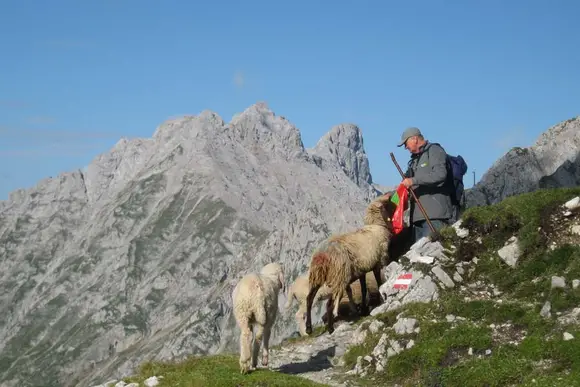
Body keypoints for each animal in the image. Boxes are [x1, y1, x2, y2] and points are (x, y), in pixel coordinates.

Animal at [304, 196, 398, 334]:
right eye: (389, 204)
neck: (377, 226)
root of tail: (322, 254)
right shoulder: (378, 263)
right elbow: (379, 282)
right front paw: (381, 300)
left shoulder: (362, 271)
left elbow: (364, 290)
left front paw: (364, 309)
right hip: (339, 276)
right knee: (329, 304)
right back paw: (330, 328)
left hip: (317, 276)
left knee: (309, 299)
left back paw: (309, 328)